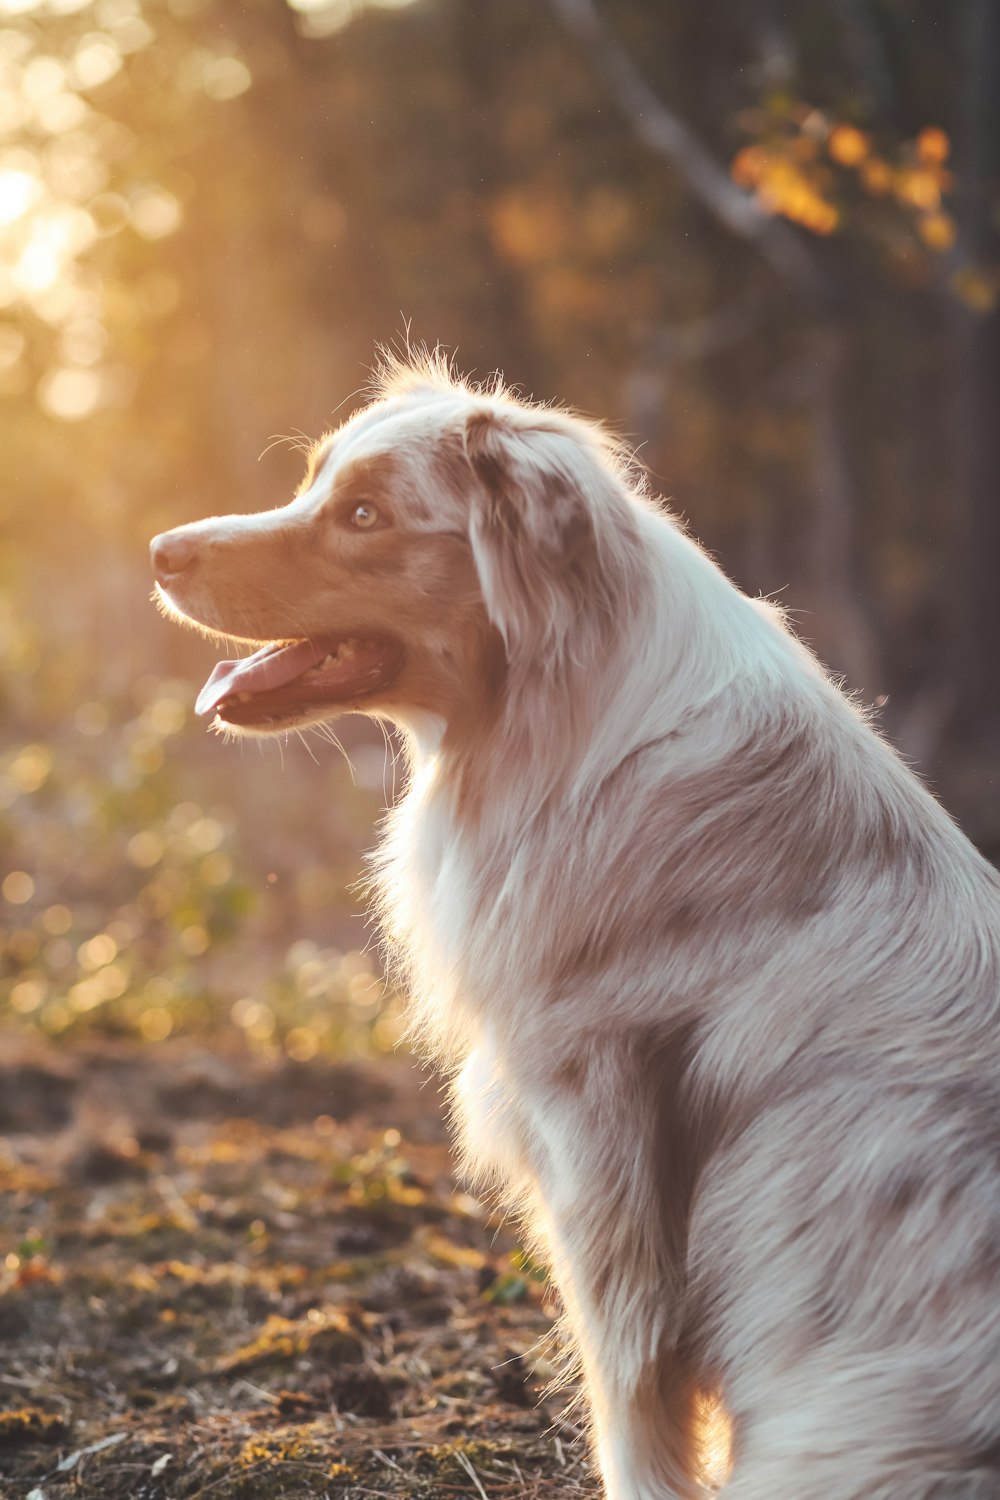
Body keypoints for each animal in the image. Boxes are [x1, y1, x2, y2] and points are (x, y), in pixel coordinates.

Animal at [152, 354, 1000, 1500]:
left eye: (366, 513)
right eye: (315, 481)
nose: (163, 551)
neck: (557, 727)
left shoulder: (595, 1144)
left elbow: (630, 1401)